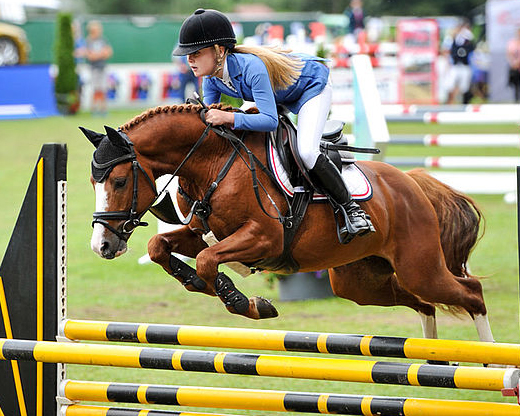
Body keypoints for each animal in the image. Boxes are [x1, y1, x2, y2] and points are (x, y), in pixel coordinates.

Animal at [83, 105, 494, 344]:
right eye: (92, 182)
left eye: (118, 181)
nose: (102, 246)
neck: (213, 161)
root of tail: (411, 183)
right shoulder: (203, 233)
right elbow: (161, 247)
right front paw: (196, 283)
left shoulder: (265, 238)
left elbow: (208, 261)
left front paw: (245, 302)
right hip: (359, 282)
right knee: (424, 304)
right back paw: (435, 356)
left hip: (419, 266)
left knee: (470, 292)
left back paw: (492, 366)